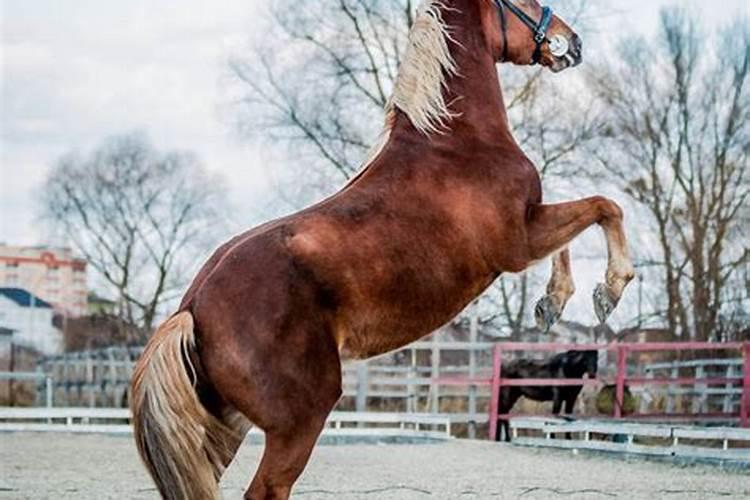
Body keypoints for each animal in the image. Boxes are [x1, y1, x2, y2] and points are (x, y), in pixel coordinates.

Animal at [131, 1, 636, 498]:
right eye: (524, 1)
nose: (573, 43)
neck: (455, 142)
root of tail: (193, 306)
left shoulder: (531, 226)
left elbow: (579, 224)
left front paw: (551, 304)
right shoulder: (518, 241)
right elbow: (603, 207)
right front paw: (608, 290)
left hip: (226, 427)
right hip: (298, 421)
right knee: (267, 490)